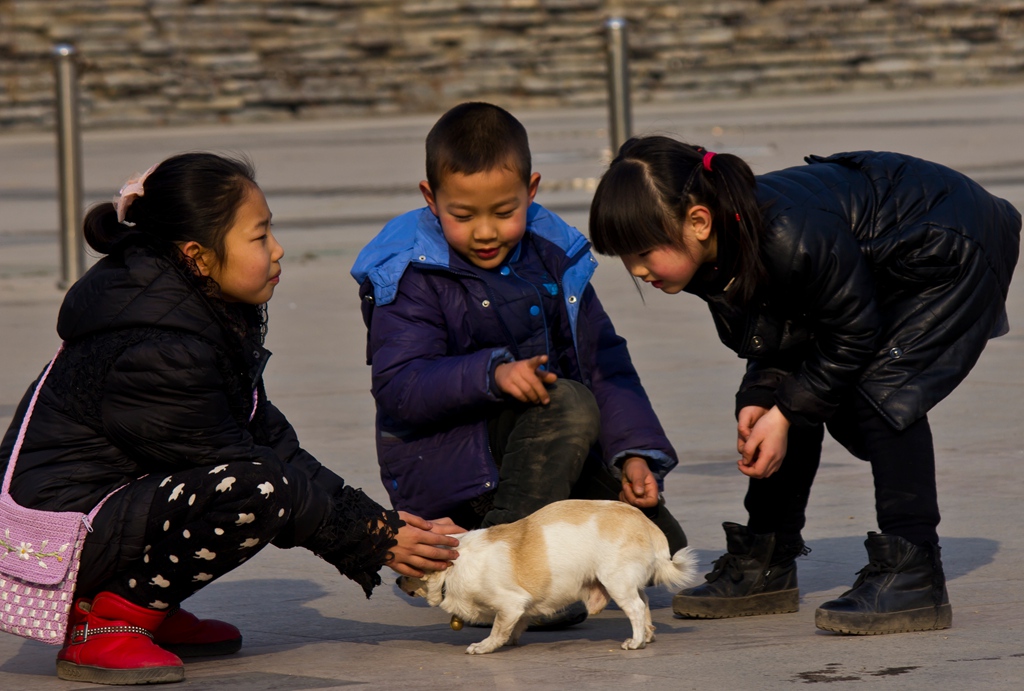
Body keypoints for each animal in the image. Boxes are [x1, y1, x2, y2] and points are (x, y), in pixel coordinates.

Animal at [395, 497, 700, 655]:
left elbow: (498, 628)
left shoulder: (510, 604)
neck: (454, 566)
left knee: (635, 608)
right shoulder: (520, 608)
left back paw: (635, 641)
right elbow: (515, 625)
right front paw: (513, 638)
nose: (396, 581)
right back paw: (646, 635)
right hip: (626, 582)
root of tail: (647, 523)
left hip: (616, 581)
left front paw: (485, 646)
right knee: (644, 603)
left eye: (407, 571)